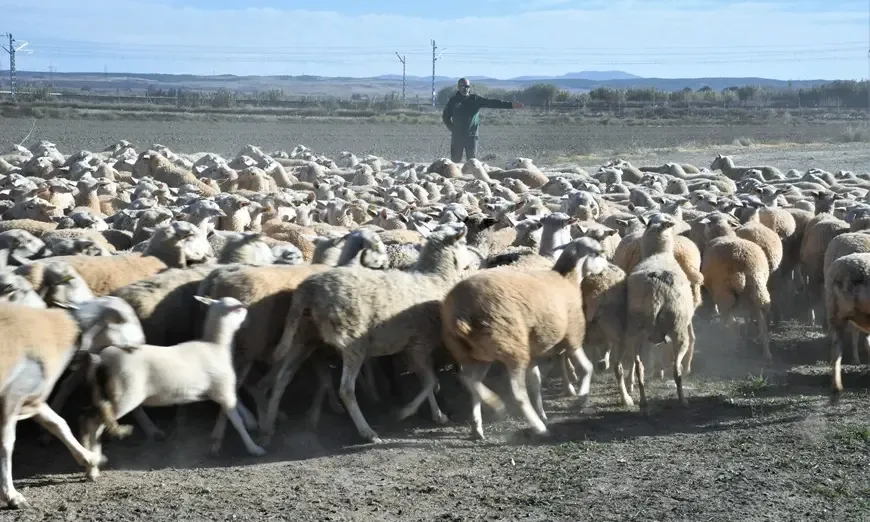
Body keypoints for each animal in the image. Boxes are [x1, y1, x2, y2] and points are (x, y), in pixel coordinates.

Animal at [0, 295, 146, 508]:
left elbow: (60, 425)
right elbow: (7, 445)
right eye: (127, 318)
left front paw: (91, 459)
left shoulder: (32, 400)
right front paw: (11, 495)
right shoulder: (11, 399)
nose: (142, 344)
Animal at [80, 296, 265, 481]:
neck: (215, 346)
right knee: (93, 423)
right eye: (239, 309)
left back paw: (92, 467)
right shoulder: (224, 391)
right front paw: (254, 448)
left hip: (107, 393)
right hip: (124, 395)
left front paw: (248, 424)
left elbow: (237, 408)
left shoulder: (219, 392)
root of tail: (101, 359)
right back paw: (93, 464)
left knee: (93, 423)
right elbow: (237, 421)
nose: (249, 320)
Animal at [264, 224, 473, 444]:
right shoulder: (420, 345)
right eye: (463, 243)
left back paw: (268, 426)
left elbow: (427, 381)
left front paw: (437, 415)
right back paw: (368, 432)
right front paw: (407, 412)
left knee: (282, 379)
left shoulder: (410, 347)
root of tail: (308, 289)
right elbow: (431, 381)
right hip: (352, 342)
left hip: (303, 337)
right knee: (346, 390)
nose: (470, 264)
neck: (434, 278)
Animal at [440, 237, 609, 439]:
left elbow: (536, 383)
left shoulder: (534, 354)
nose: (608, 267)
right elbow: (587, 367)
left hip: (476, 353)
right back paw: (535, 426)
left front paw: (543, 414)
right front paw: (581, 398)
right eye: (599, 253)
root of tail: (461, 312)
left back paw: (479, 425)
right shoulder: (572, 337)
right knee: (517, 393)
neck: (568, 279)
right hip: (512, 347)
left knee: (469, 381)